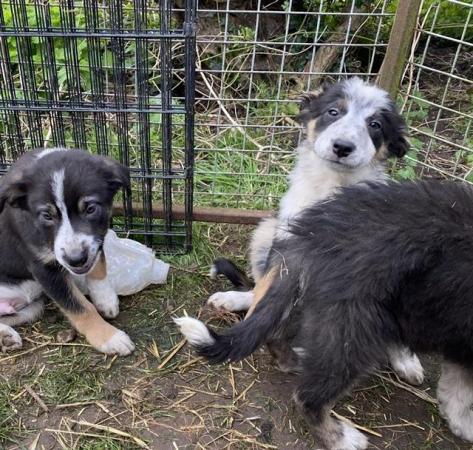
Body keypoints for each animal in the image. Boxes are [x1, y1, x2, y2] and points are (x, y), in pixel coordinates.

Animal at [0, 148, 135, 356]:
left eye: (90, 209)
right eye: (47, 216)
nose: (75, 260)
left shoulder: (97, 238)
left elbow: (99, 267)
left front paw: (106, 300)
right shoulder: (43, 268)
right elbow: (80, 307)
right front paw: (109, 337)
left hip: (33, 307)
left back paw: (6, 337)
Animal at [174, 180, 473, 450]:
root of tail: (309, 236)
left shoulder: (460, 343)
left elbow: (456, 390)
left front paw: (460, 423)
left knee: (274, 330)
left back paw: (293, 359)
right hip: (352, 326)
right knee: (308, 396)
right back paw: (342, 439)